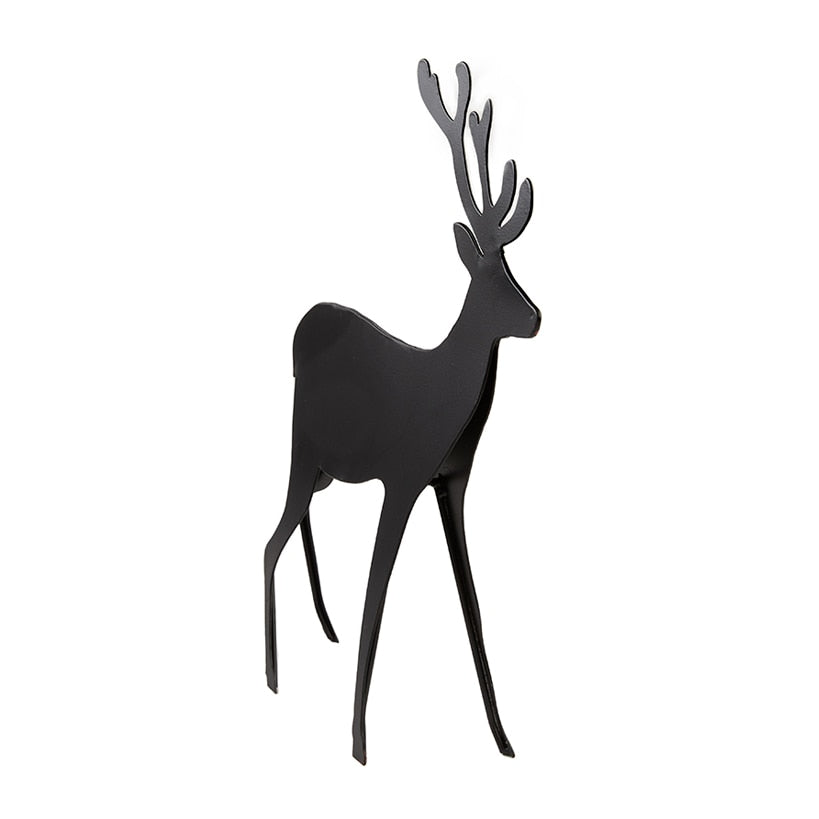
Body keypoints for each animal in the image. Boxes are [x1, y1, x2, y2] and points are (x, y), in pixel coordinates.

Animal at [264, 59, 540, 765]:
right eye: (492, 278)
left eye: (515, 269)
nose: (536, 316)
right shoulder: (403, 478)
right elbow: (377, 601)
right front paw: (359, 746)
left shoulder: (451, 484)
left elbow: (473, 607)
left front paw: (503, 740)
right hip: (303, 454)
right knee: (268, 543)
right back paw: (272, 676)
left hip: (322, 468)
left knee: (296, 528)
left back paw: (318, 631)